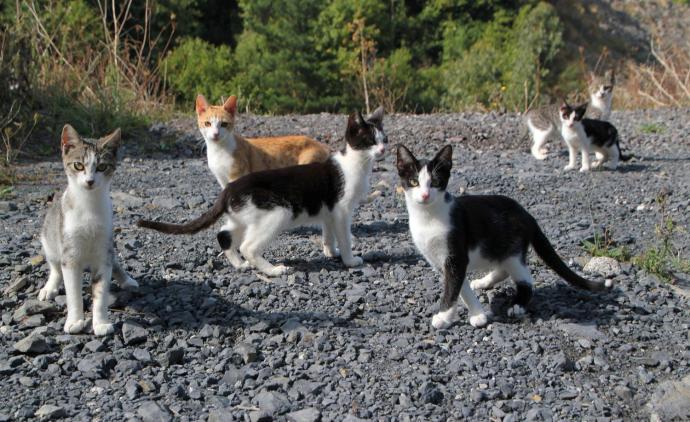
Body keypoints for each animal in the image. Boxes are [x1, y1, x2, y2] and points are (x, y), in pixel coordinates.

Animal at [39, 124, 139, 336]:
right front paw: (75, 321)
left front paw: (100, 323)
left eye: (102, 167)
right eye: (78, 165)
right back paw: (50, 287)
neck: (89, 207)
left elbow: (100, 292)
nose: (90, 181)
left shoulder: (103, 252)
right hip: (49, 241)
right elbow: (73, 292)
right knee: (55, 267)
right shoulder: (70, 255)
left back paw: (126, 280)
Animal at [138, 112, 388, 276]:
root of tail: (229, 188)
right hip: (277, 212)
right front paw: (350, 260)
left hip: (242, 215)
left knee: (223, 234)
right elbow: (344, 237)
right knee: (248, 246)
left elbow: (329, 234)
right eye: (369, 140)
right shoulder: (343, 210)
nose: (383, 149)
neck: (355, 164)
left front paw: (330, 252)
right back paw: (274, 270)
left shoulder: (329, 212)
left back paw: (240, 265)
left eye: (384, 139)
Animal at [392, 143, 608, 328]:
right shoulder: (440, 261)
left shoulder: (456, 255)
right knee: (503, 268)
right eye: (413, 182)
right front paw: (478, 314)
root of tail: (527, 214)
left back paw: (517, 305)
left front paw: (444, 317)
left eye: (435, 182)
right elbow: (460, 286)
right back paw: (484, 281)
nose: (425, 195)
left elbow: (452, 288)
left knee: (526, 280)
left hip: (514, 249)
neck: (427, 218)